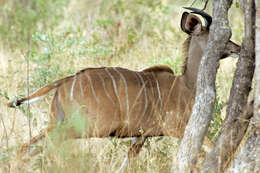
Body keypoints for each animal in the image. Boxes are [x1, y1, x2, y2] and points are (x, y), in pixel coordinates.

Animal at [7, 7, 240, 170]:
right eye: (222, 37)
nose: (237, 48)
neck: (187, 84)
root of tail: (63, 82)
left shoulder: (142, 136)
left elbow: (126, 164)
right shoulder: (176, 128)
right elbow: (212, 148)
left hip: (58, 122)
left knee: (26, 147)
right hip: (80, 128)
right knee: (40, 147)